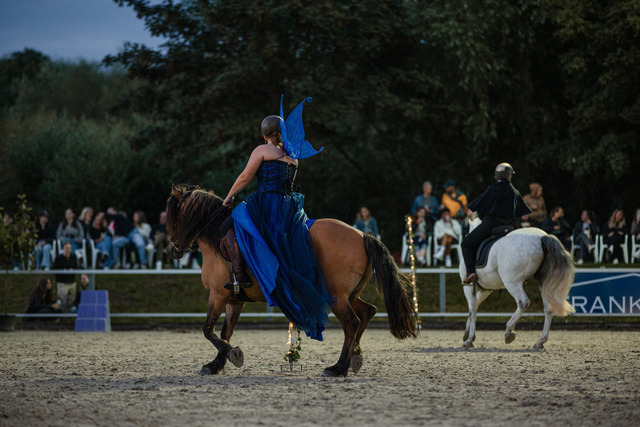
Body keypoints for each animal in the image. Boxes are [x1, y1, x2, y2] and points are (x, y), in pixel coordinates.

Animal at [165, 184, 416, 377]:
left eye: (171, 218)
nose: (172, 251)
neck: (216, 236)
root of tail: (363, 235)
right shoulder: (234, 299)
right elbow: (226, 331)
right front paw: (217, 363)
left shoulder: (217, 295)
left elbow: (208, 329)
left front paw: (231, 354)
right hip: (351, 295)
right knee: (367, 312)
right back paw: (355, 356)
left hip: (337, 297)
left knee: (352, 323)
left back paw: (338, 368)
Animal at [459, 221, 575, 349]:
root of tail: (543, 236)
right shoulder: (486, 289)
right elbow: (475, 306)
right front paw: (466, 333)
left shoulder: (469, 288)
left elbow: (472, 311)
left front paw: (469, 339)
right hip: (543, 283)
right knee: (548, 308)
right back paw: (540, 341)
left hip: (512, 282)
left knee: (523, 302)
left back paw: (509, 332)